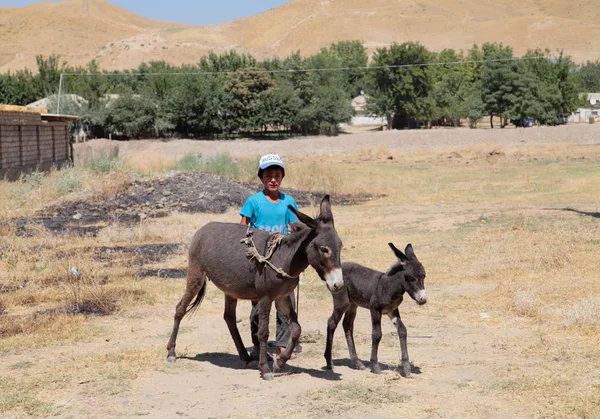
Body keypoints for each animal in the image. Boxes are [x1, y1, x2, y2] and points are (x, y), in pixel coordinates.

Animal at [166, 196, 344, 380]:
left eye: (340, 246)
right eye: (324, 249)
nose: (338, 284)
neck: (284, 258)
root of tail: (203, 228)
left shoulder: (283, 297)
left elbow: (296, 329)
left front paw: (280, 362)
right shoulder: (265, 297)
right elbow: (263, 332)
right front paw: (265, 368)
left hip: (230, 289)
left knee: (229, 317)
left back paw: (245, 356)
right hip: (196, 276)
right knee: (180, 308)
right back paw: (171, 352)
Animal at [326, 243, 424, 378]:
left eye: (424, 276)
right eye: (411, 278)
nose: (423, 300)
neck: (388, 286)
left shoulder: (392, 310)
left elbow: (402, 330)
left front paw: (406, 368)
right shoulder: (375, 309)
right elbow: (377, 334)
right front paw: (375, 366)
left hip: (352, 304)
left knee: (347, 325)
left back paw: (357, 362)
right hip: (341, 302)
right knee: (332, 323)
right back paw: (329, 362)